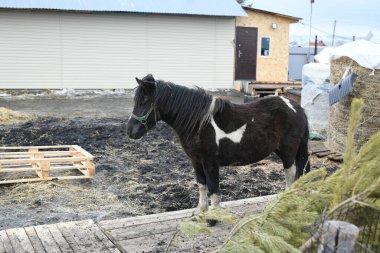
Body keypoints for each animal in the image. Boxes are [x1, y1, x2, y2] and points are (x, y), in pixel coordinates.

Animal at [126, 73, 310, 213]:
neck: (199, 123)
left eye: (144, 101)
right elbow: (201, 184)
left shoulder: (210, 162)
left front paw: (214, 217)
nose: (130, 131)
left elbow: (213, 188)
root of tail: (296, 107)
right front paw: (200, 211)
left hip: (288, 153)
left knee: (291, 175)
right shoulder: (196, 161)